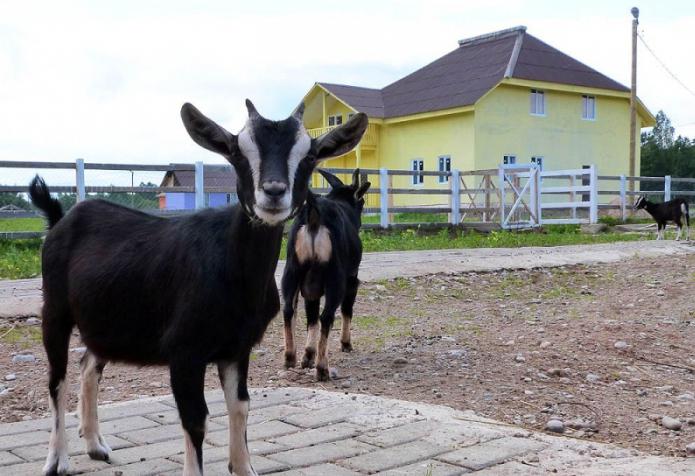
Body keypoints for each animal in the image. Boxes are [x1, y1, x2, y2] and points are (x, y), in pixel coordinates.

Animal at [282, 169, 372, 382]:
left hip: (291, 271)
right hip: (335, 279)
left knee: (289, 309)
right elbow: (347, 311)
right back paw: (322, 368)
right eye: (362, 202)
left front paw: (308, 354)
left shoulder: (310, 287)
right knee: (327, 316)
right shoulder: (352, 280)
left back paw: (290, 357)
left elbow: (311, 319)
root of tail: (315, 214)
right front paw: (346, 343)